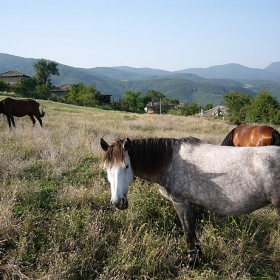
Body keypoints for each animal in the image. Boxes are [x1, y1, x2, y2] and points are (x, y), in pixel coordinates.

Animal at [100, 137, 280, 270]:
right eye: (106, 169)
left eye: (126, 166)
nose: (118, 202)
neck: (170, 161)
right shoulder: (189, 204)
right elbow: (193, 231)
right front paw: (198, 256)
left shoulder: (181, 202)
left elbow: (188, 232)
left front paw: (191, 263)